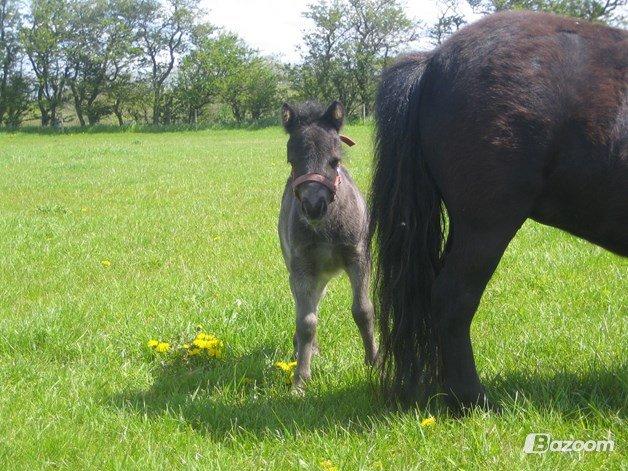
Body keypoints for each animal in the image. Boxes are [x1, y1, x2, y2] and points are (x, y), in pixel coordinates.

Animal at [280, 101, 378, 392]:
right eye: (292, 161)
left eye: (335, 161)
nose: (314, 206)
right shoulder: (302, 268)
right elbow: (306, 322)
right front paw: (300, 380)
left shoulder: (358, 257)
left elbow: (363, 310)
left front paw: (374, 362)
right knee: (306, 306)